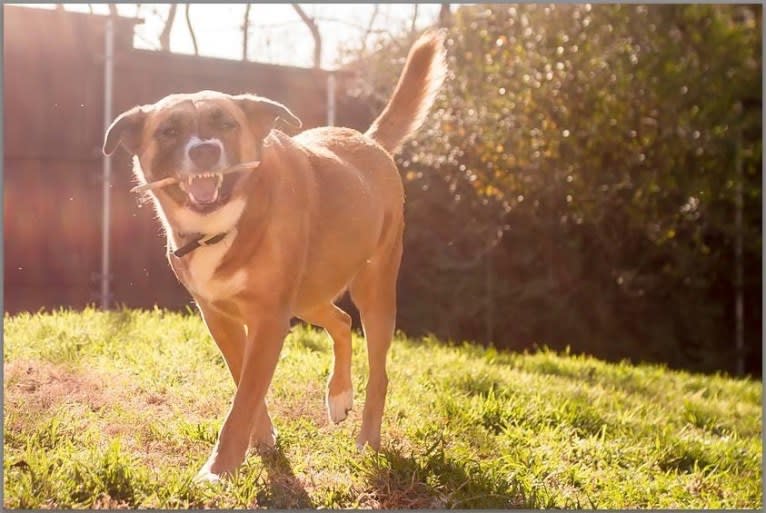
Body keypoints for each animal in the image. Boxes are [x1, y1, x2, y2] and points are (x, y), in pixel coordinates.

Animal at [103, 31, 450, 480]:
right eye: (169, 130)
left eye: (226, 123)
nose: (204, 151)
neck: (222, 227)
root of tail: (368, 139)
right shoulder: (220, 318)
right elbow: (244, 384)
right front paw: (262, 437)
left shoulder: (269, 319)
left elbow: (245, 397)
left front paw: (219, 468)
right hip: (307, 295)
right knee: (341, 322)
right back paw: (339, 396)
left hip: (373, 288)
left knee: (379, 371)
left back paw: (368, 441)